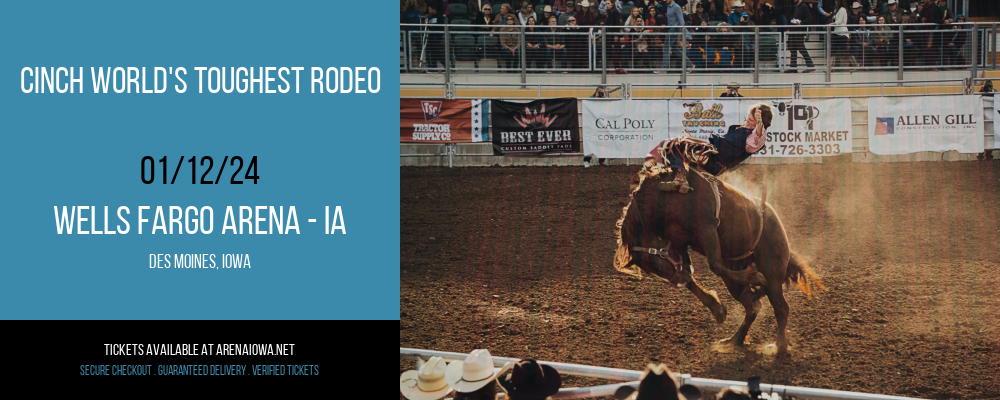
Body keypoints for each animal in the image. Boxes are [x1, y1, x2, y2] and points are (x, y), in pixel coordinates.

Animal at [612, 160, 824, 354]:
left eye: (656, 263)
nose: (677, 281)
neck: (665, 198)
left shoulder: (707, 227)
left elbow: (714, 264)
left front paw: (754, 277)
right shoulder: (678, 243)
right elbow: (691, 275)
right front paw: (717, 309)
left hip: (773, 272)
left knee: (780, 308)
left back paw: (779, 346)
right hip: (736, 279)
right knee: (752, 306)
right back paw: (734, 340)